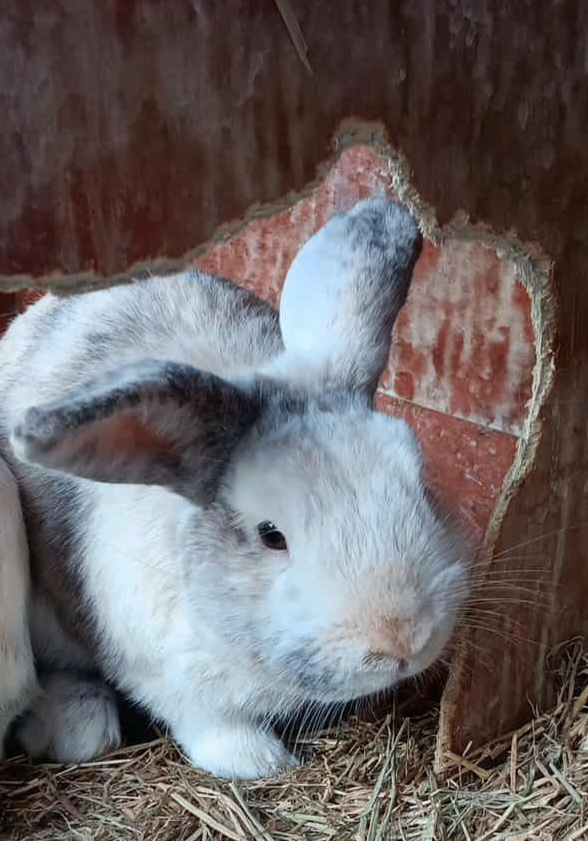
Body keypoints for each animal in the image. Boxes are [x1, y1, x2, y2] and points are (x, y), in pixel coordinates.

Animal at [0, 197, 469, 779]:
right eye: (271, 535)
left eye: (419, 482)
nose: (403, 640)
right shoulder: (165, 677)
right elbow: (212, 725)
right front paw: (261, 761)